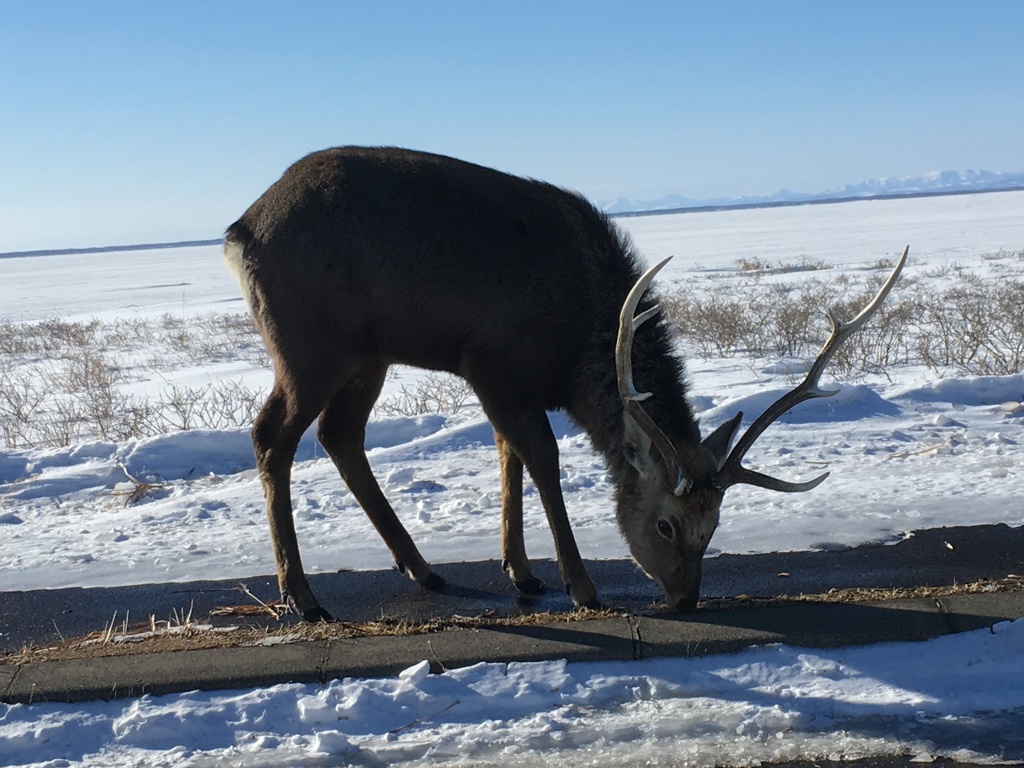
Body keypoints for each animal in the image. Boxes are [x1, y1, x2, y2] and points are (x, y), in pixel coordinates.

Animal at [222, 147, 905, 622]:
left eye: (715, 527)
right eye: (666, 525)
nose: (686, 599)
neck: (576, 354)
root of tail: (238, 231)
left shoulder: (514, 385)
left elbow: (509, 459)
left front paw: (522, 572)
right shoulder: (490, 362)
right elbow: (543, 460)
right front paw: (582, 587)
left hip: (368, 353)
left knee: (340, 435)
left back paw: (421, 569)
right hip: (309, 345)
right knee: (272, 436)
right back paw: (303, 596)